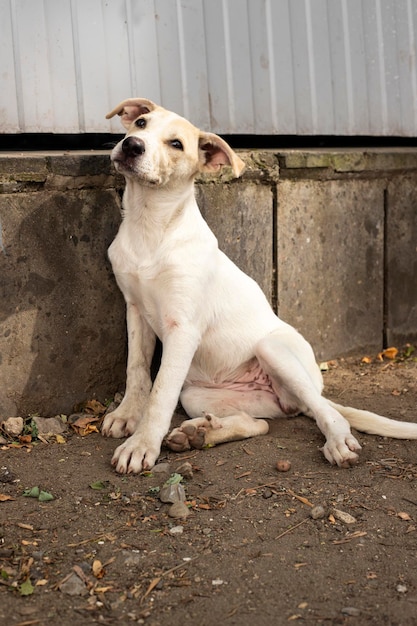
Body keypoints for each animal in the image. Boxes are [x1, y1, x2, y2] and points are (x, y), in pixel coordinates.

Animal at [101, 96, 416, 472]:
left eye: (176, 144)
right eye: (141, 124)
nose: (132, 146)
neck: (150, 224)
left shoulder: (183, 328)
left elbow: (160, 392)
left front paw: (142, 444)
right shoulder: (135, 309)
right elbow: (137, 370)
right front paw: (126, 415)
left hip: (273, 350)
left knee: (328, 412)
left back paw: (338, 441)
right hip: (198, 395)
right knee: (261, 424)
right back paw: (200, 433)